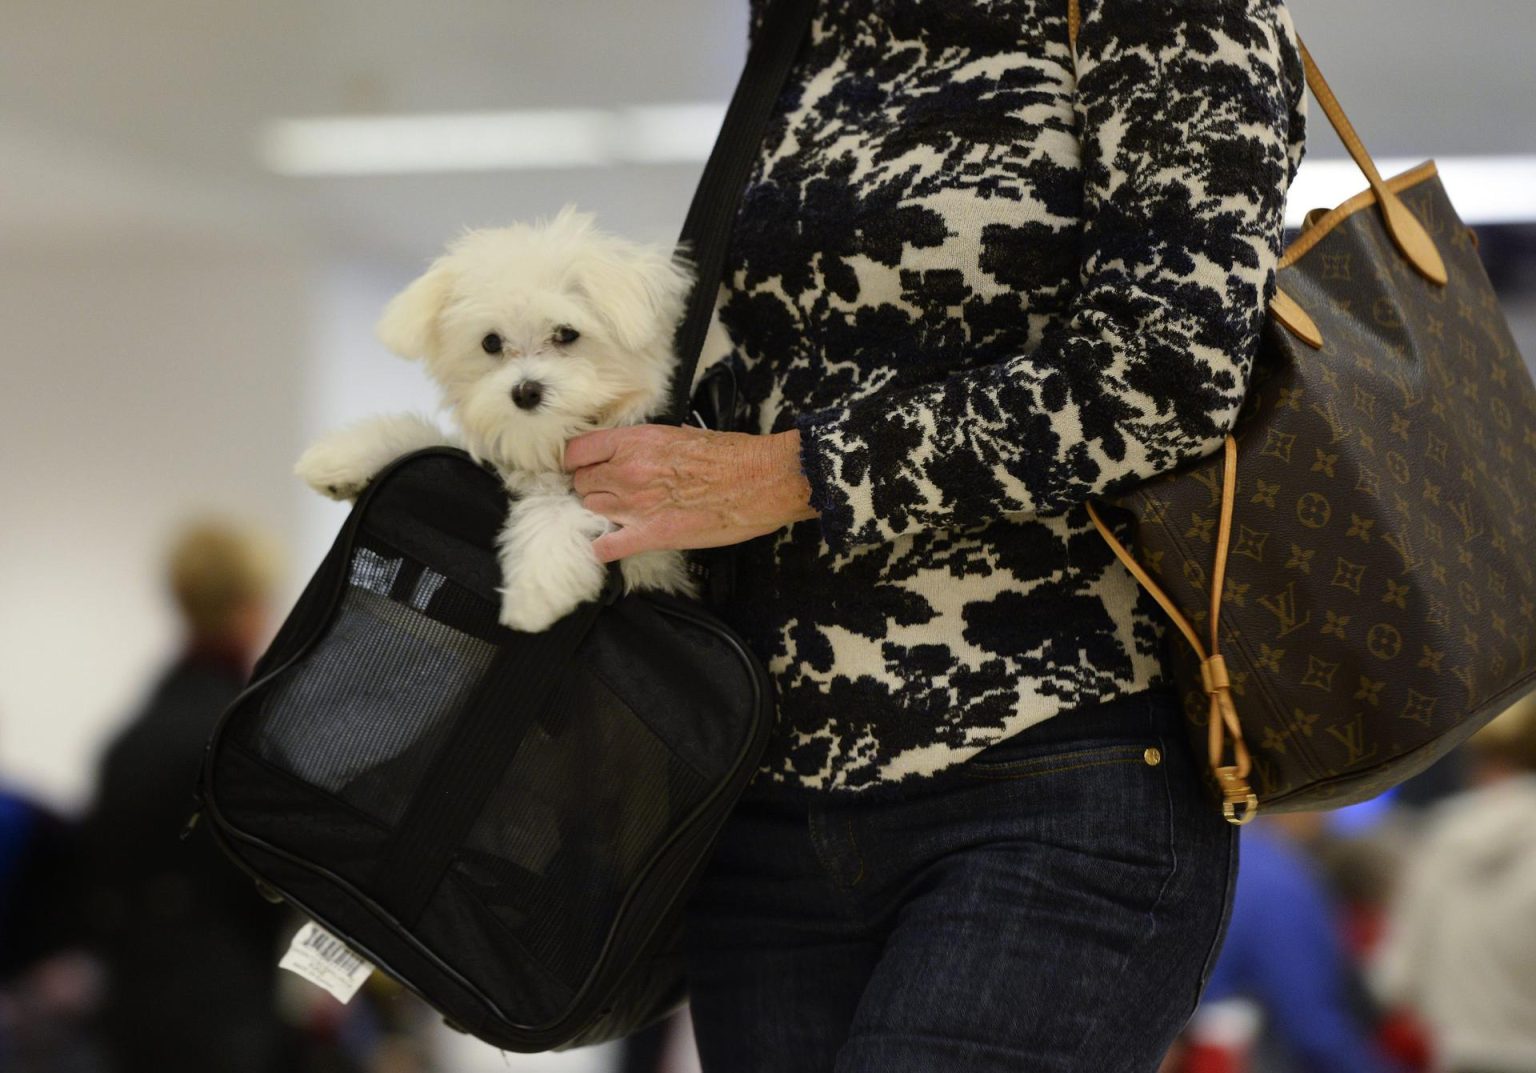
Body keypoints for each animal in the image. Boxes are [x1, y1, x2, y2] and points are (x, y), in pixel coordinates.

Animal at [294, 205, 703, 632]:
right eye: (491, 342)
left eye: (566, 333)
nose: (525, 391)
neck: (547, 445)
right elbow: (420, 435)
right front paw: (341, 459)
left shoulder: (642, 533)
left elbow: (569, 506)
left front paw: (537, 592)